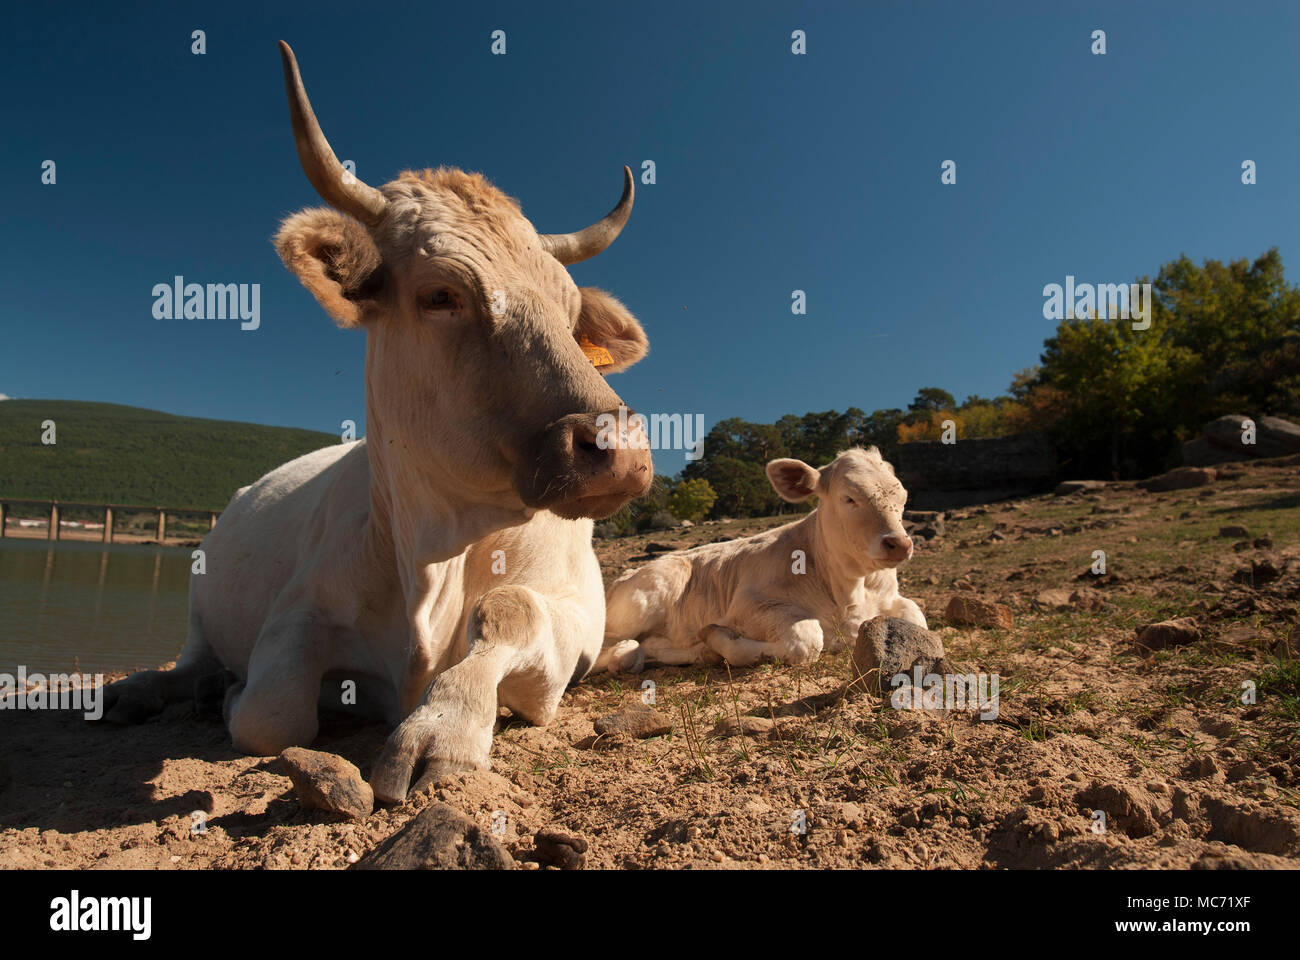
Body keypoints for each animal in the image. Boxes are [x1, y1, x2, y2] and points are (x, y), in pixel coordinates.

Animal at [99, 42, 653, 803]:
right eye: (441, 294)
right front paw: (235, 697)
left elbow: (508, 610)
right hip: (197, 607)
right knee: (190, 663)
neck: (437, 554)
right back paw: (148, 691)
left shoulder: (563, 622)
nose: (619, 447)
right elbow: (270, 712)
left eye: (572, 316)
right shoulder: (298, 609)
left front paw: (443, 729)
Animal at [597, 447, 926, 671]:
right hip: (647, 596)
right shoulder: (747, 606)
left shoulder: (890, 598)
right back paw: (629, 653)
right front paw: (720, 640)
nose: (899, 544)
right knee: (607, 649)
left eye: (903, 498)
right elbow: (805, 641)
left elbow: (918, 619)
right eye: (849, 498)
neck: (850, 593)